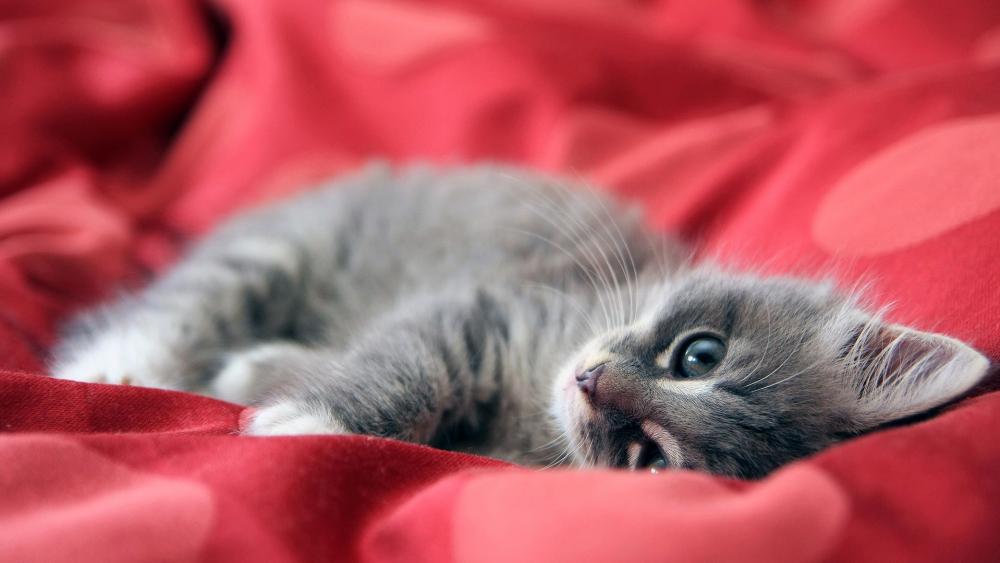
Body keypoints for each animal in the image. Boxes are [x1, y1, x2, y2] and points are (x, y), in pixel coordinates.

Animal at [54, 165, 992, 478]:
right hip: (278, 249)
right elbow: (399, 366)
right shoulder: (478, 311)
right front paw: (308, 421)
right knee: (181, 302)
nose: (592, 381)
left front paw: (274, 387)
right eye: (699, 354)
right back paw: (114, 369)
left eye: (650, 457)